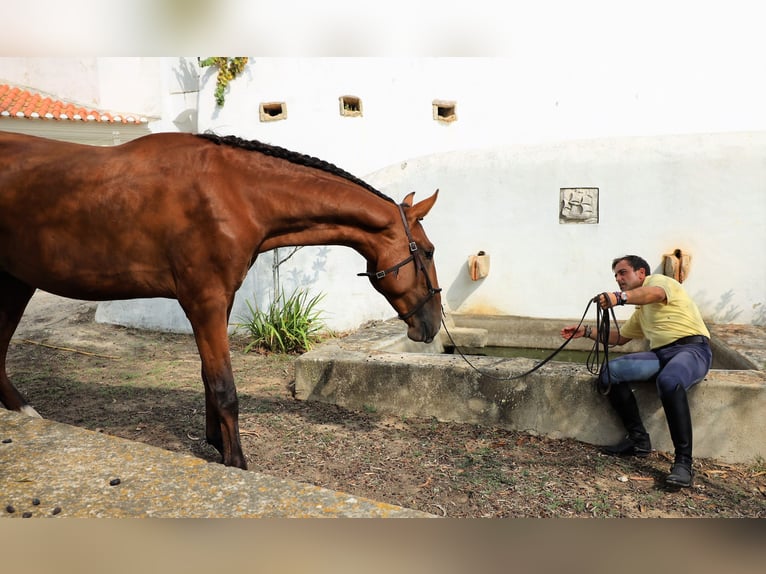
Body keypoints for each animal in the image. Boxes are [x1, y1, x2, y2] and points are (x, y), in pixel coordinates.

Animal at [0, 133, 444, 470]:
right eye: (428, 251)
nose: (432, 325)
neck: (232, 193)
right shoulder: (205, 301)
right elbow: (224, 386)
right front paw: (236, 462)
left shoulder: (219, 302)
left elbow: (207, 377)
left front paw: (215, 442)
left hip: (16, 283)